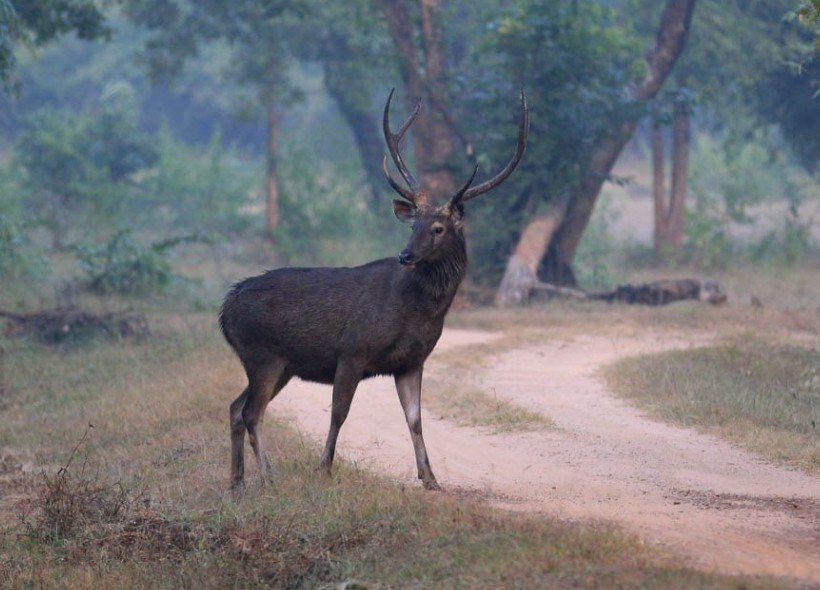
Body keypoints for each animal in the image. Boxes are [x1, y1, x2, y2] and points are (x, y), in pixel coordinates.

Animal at [220, 89, 528, 490]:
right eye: (413, 225)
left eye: (438, 228)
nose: (405, 255)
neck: (416, 311)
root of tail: (224, 310)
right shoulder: (353, 350)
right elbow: (339, 412)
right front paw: (323, 468)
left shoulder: (412, 361)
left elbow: (415, 418)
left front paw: (431, 478)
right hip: (262, 353)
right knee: (251, 412)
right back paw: (269, 477)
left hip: (279, 363)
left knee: (235, 407)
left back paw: (238, 483)